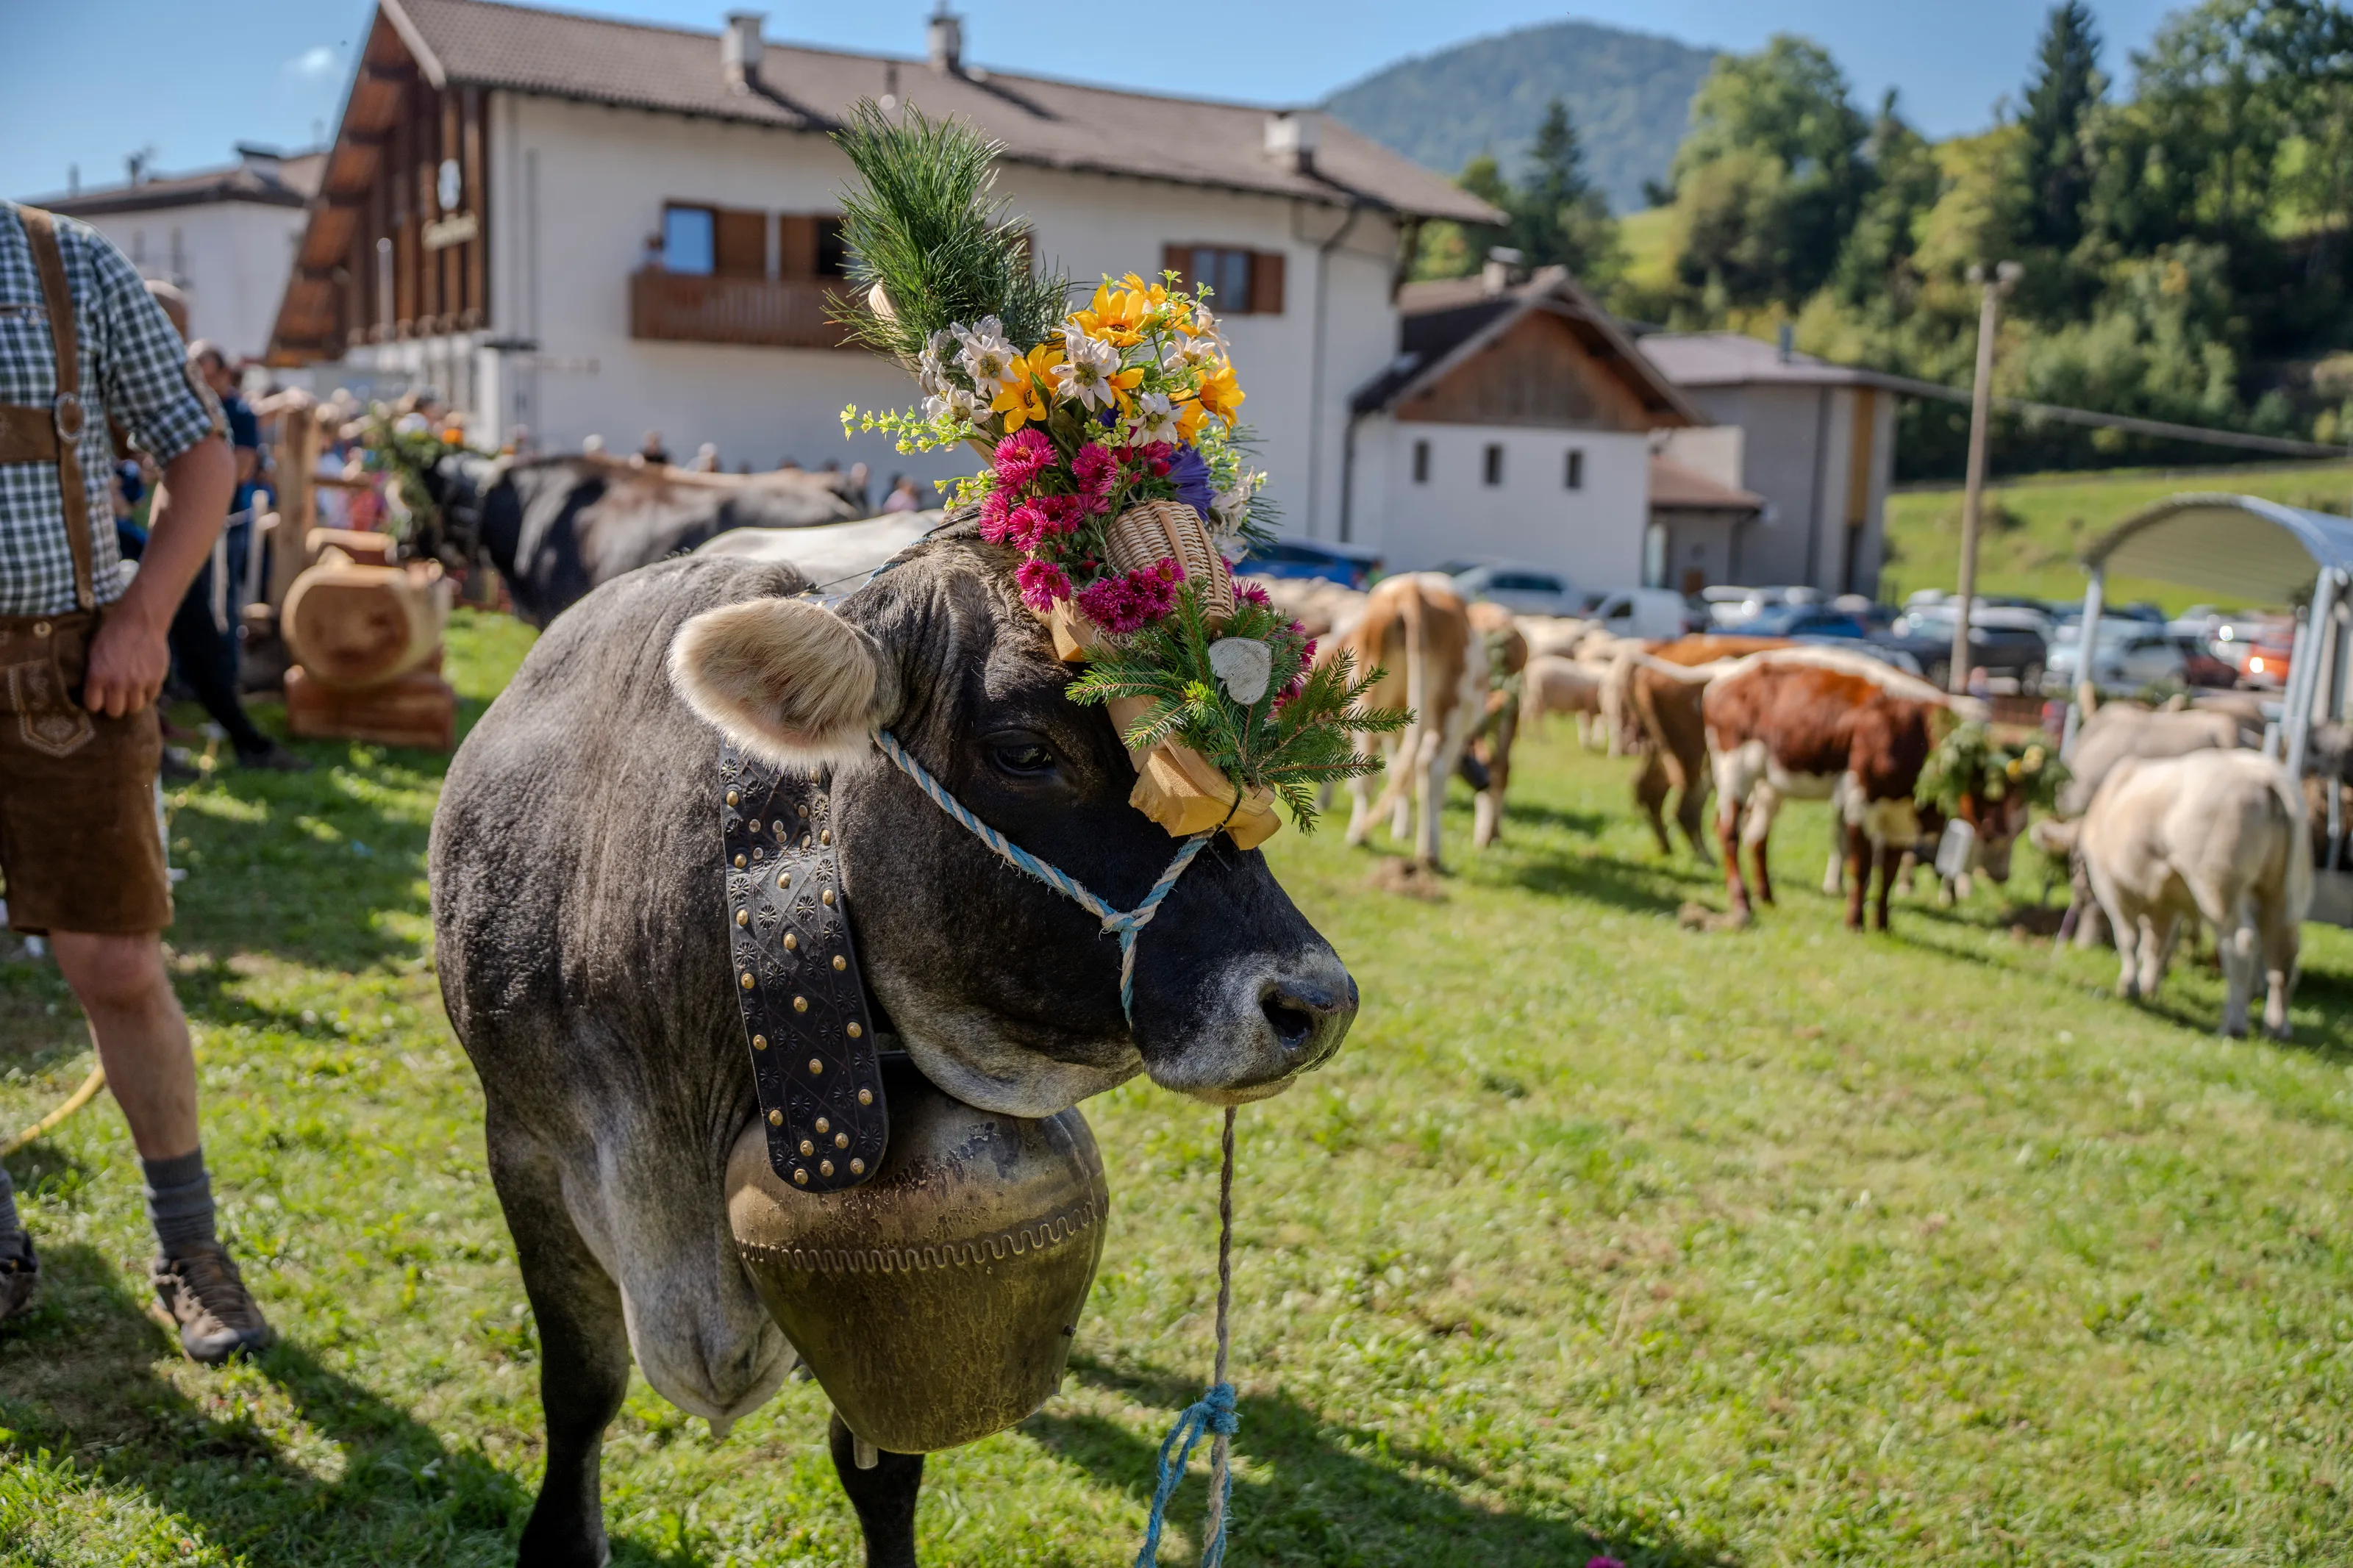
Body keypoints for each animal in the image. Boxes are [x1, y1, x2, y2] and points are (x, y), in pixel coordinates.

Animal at [1333, 574, 1489, 869]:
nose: (1484, 782)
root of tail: (1411, 589)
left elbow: (1397, 768)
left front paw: (1400, 826)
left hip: (1366, 699)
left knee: (1368, 766)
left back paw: (1358, 835)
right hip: (1448, 712)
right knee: (1431, 767)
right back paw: (1430, 853)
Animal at [1703, 649, 1969, 930]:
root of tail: (1727, 672)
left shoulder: (1900, 820)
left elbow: (1889, 870)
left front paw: (1882, 925)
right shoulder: (1859, 799)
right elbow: (1861, 864)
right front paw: (1855, 922)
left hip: (1767, 784)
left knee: (1756, 834)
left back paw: (1765, 897)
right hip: (1734, 767)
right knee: (1729, 830)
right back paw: (1741, 902)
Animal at [2040, 750, 2308, 1037]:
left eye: (2075, 860)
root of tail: (2264, 772)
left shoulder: (2113, 887)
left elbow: (2129, 938)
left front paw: (2129, 986)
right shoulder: (2167, 901)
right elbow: (2158, 944)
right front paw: (2149, 985)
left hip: (2219, 887)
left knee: (2240, 944)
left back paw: (2233, 1025)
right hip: (2284, 893)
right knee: (2283, 953)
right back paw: (2277, 1027)